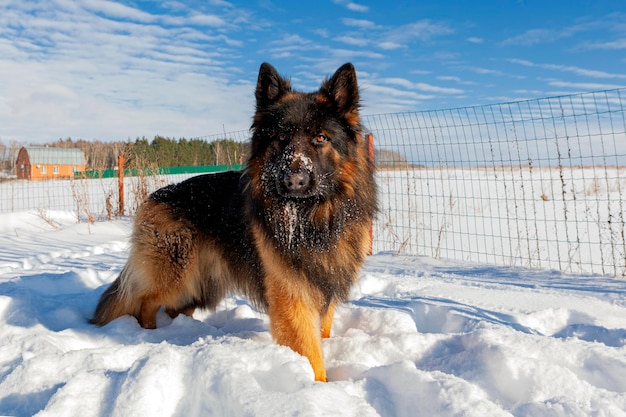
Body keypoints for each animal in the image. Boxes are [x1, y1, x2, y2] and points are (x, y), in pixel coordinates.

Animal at [91, 61, 376, 380]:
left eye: (320, 138)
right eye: (280, 138)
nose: (293, 181)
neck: (313, 218)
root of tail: (156, 196)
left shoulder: (326, 285)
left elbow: (322, 332)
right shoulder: (292, 295)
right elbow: (310, 352)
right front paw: (316, 385)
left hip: (198, 287)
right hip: (178, 276)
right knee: (146, 302)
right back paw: (149, 335)